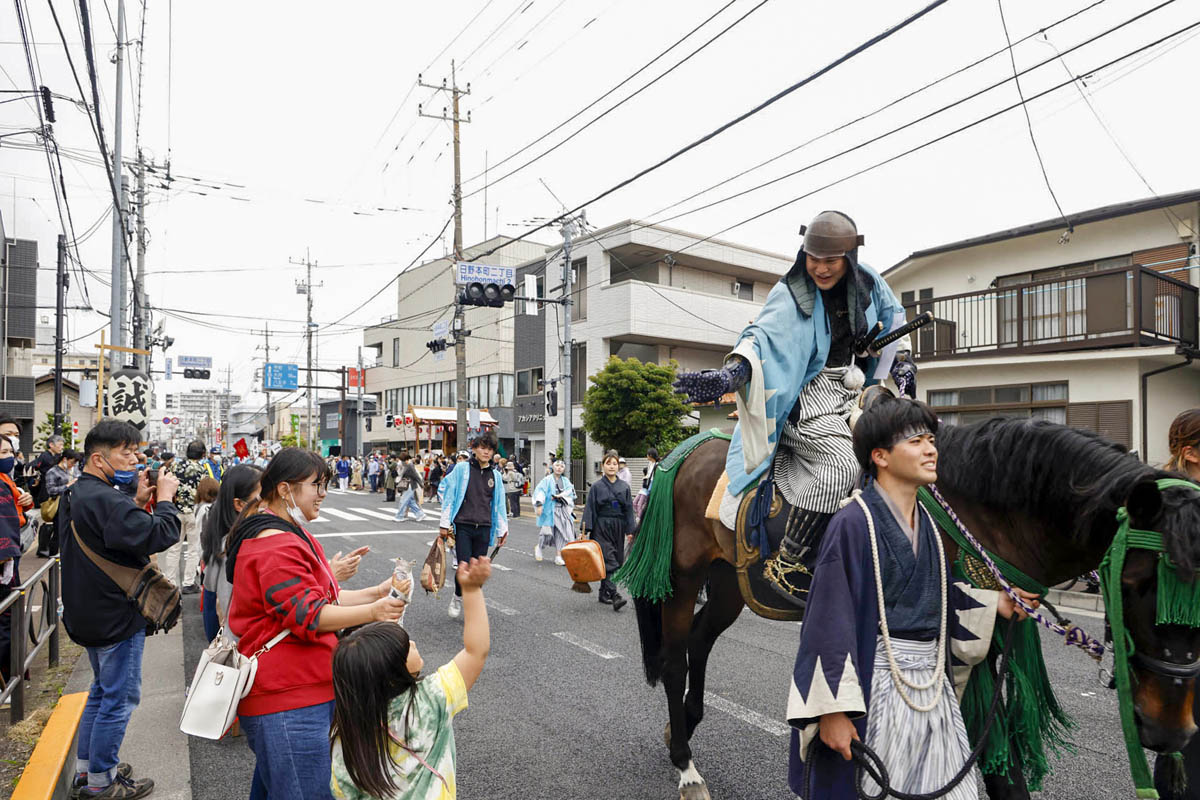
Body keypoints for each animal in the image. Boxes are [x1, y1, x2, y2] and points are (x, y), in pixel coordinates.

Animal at [628, 419, 1200, 800]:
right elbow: (994, 760)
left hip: (728, 581)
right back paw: (686, 765)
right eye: (1137, 584)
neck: (982, 517)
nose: (1172, 731)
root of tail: (684, 451)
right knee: (675, 658)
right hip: (682, 576)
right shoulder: (959, 638)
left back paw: (683, 728)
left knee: (700, 642)